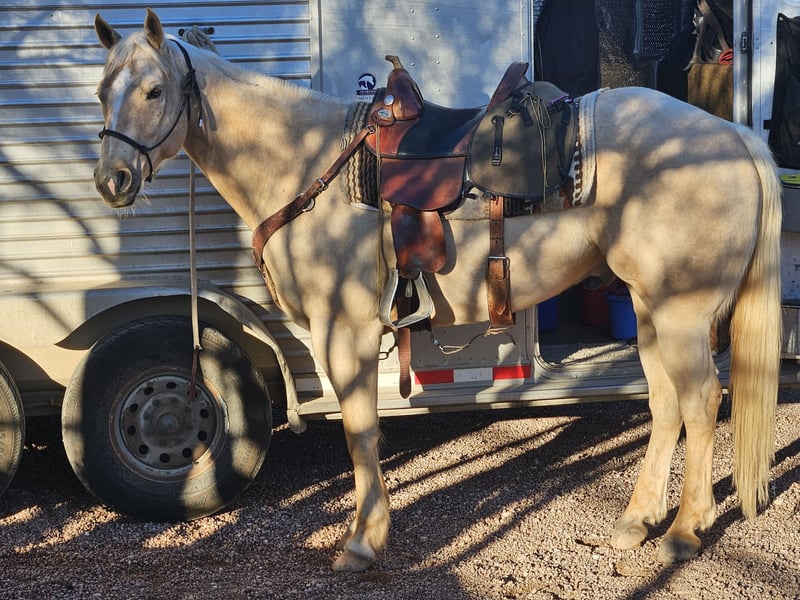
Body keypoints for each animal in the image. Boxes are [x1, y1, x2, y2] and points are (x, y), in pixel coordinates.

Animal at [92, 9, 781, 572]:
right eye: (102, 91)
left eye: (154, 90)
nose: (112, 180)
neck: (307, 163)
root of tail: (737, 138)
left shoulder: (344, 327)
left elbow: (359, 430)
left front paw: (362, 542)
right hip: (649, 308)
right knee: (666, 405)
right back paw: (638, 521)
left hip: (682, 313)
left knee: (702, 401)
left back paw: (685, 532)